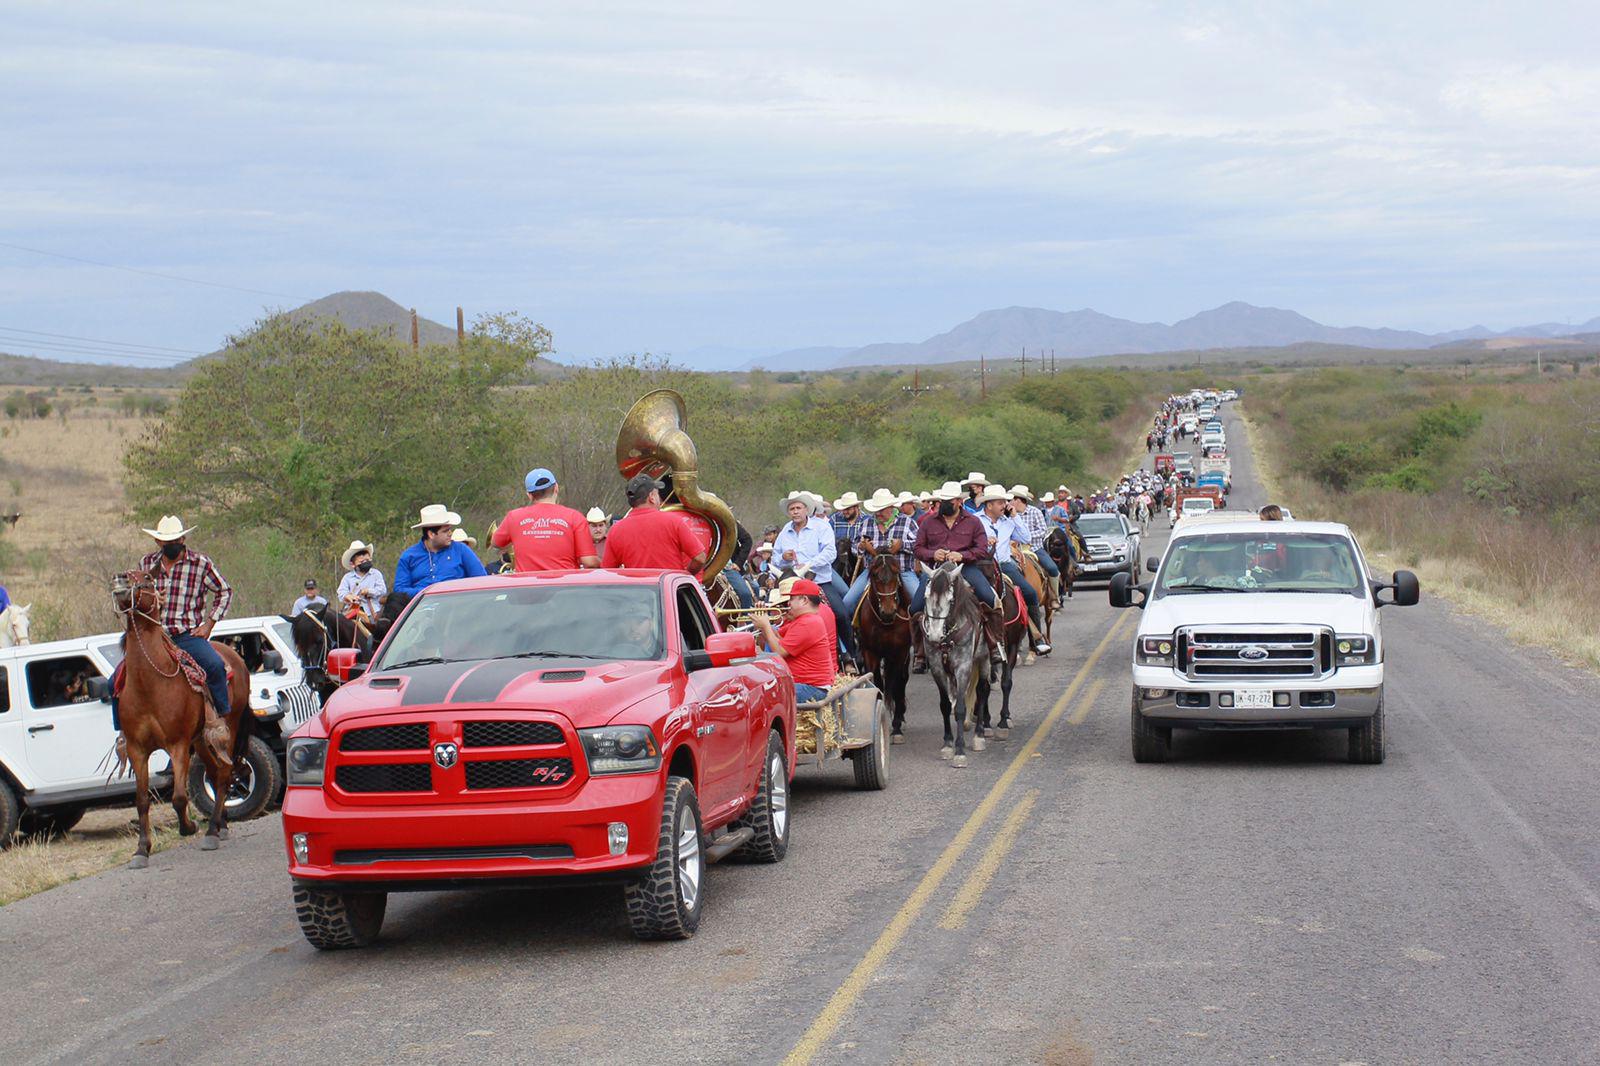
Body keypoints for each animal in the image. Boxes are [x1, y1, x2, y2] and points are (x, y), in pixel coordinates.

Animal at [112, 569, 252, 870]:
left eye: (145, 577)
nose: (120, 580)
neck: (149, 682)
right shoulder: (137, 749)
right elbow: (142, 800)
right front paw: (141, 850)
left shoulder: (177, 745)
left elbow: (178, 797)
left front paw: (189, 827)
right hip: (200, 740)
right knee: (214, 771)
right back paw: (220, 825)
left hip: (228, 728)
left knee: (224, 773)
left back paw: (212, 832)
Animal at [851, 550, 915, 742]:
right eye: (874, 575)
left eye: (896, 574)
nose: (888, 611)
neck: (886, 623)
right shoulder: (869, 652)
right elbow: (877, 681)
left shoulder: (899, 653)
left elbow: (895, 684)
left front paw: (896, 727)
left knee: (902, 681)